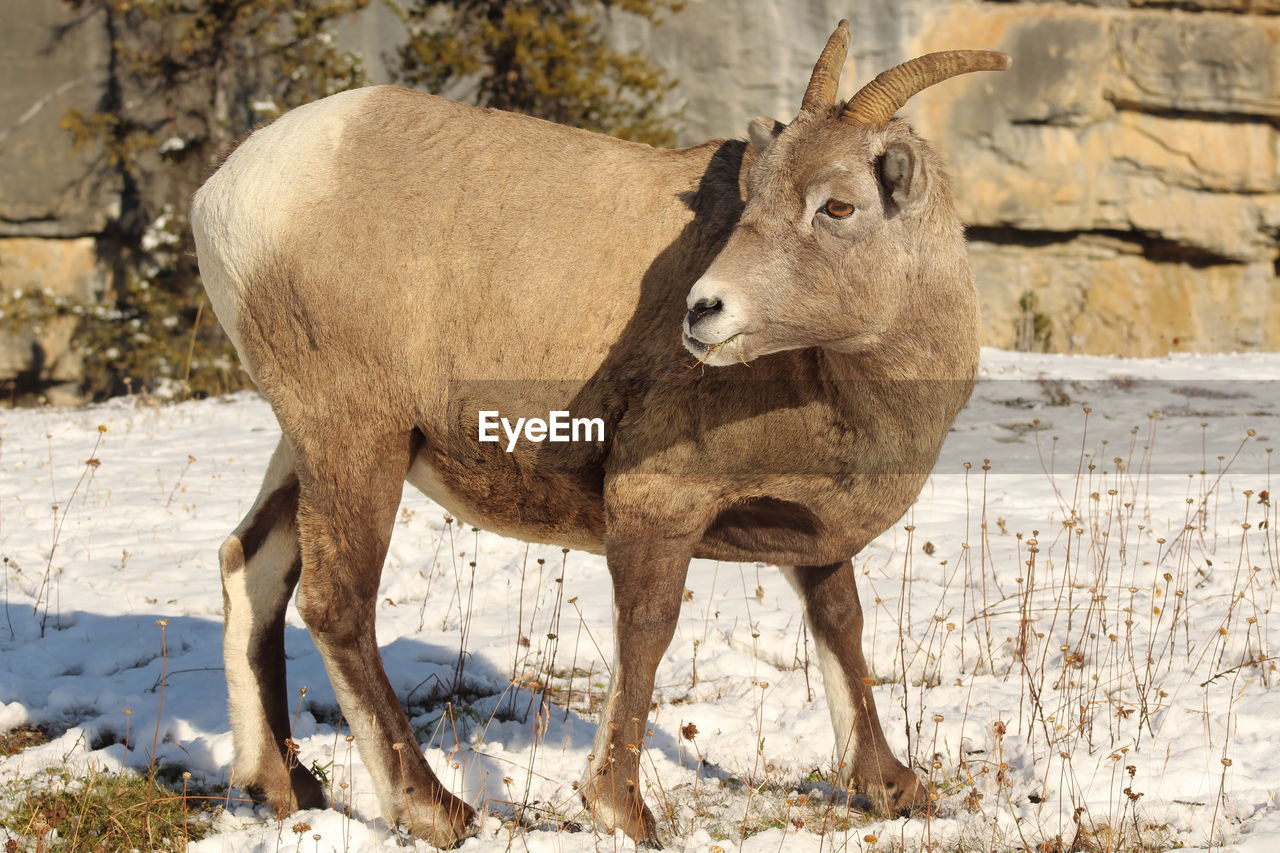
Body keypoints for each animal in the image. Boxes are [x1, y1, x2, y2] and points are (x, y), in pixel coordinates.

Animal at [189, 18, 1008, 845]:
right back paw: (437, 809)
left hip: (304, 444)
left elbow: (841, 623)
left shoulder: (810, 531)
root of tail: (224, 194)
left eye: (838, 207)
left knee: (250, 565)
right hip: (356, 437)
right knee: (336, 603)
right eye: (756, 198)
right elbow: (647, 628)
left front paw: (894, 787)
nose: (703, 311)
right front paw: (623, 809)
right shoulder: (657, 501)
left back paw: (283, 787)